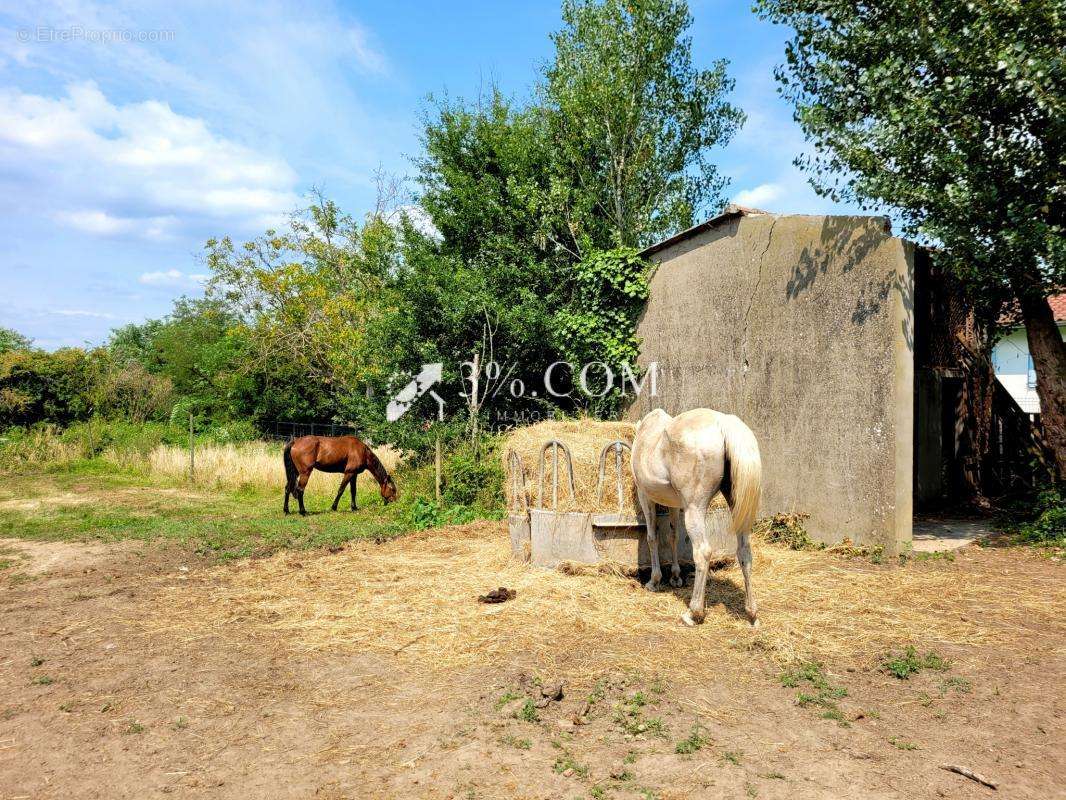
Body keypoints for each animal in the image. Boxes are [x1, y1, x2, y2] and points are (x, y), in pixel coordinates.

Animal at [631, 409, 758, 631]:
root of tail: (722, 422)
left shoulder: (645, 496)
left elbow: (652, 537)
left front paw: (654, 581)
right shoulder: (674, 504)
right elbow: (672, 535)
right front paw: (675, 576)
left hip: (694, 509)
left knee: (702, 552)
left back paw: (694, 613)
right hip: (735, 506)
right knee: (744, 552)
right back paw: (751, 613)